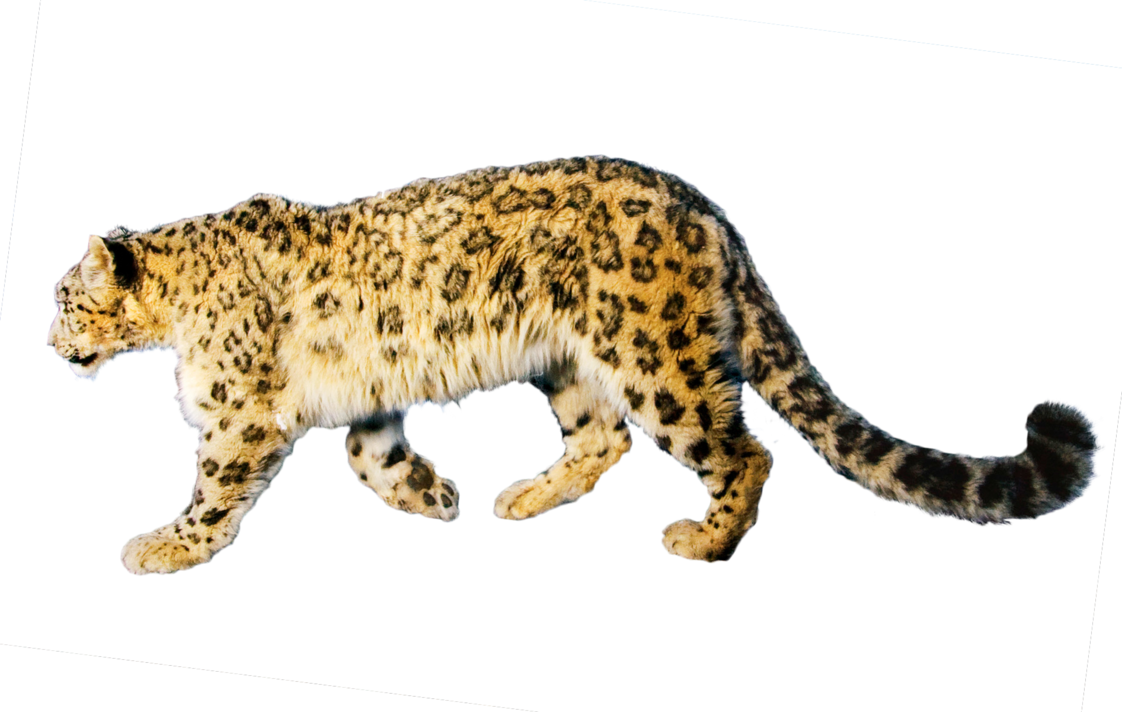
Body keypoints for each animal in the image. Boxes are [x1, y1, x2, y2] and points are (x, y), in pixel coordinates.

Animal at [45, 155, 1106, 575]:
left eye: (62, 296)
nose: (48, 342)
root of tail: (709, 209)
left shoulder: (241, 410)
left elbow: (215, 485)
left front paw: (161, 548)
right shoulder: (362, 396)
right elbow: (370, 457)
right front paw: (432, 495)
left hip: (654, 353)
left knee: (742, 446)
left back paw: (704, 540)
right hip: (570, 360)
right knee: (606, 441)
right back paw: (522, 498)